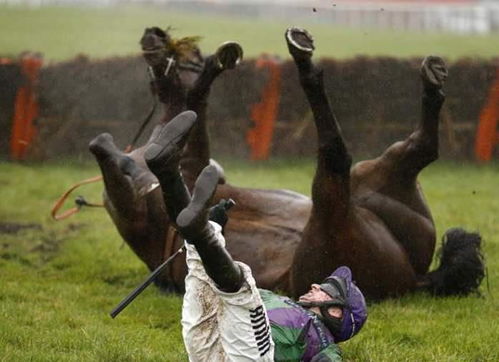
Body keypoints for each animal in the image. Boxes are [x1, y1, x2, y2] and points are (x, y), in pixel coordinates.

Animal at [90, 26, 484, 300]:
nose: (153, 34)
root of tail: (416, 278)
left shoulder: (190, 163)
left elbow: (196, 102)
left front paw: (213, 65)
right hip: (334, 231)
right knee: (340, 160)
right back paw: (306, 61)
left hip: (380, 200)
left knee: (417, 149)